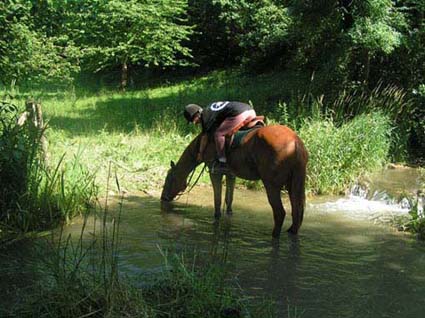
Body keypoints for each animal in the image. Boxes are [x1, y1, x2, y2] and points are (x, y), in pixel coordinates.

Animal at [161, 125, 306, 238]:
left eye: (169, 178)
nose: (163, 198)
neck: (204, 145)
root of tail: (295, 142)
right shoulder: (231, 175)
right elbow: (228, 200)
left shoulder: (215, 172)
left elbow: (218, 200)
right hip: (294, 185)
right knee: (297, 212)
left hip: (272, 186)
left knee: (280, 213)